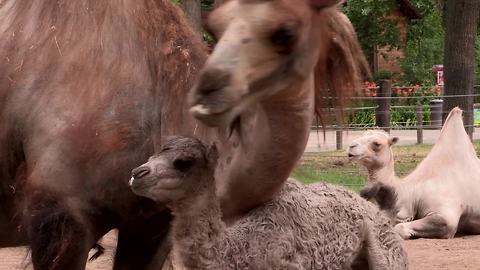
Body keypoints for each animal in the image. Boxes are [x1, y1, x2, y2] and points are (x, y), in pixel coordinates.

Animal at [346, 107, 480, 238]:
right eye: (362, 135)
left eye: (377, 143)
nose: (351, 146)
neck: (411, 192)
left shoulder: (447, 216)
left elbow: (399, 227)